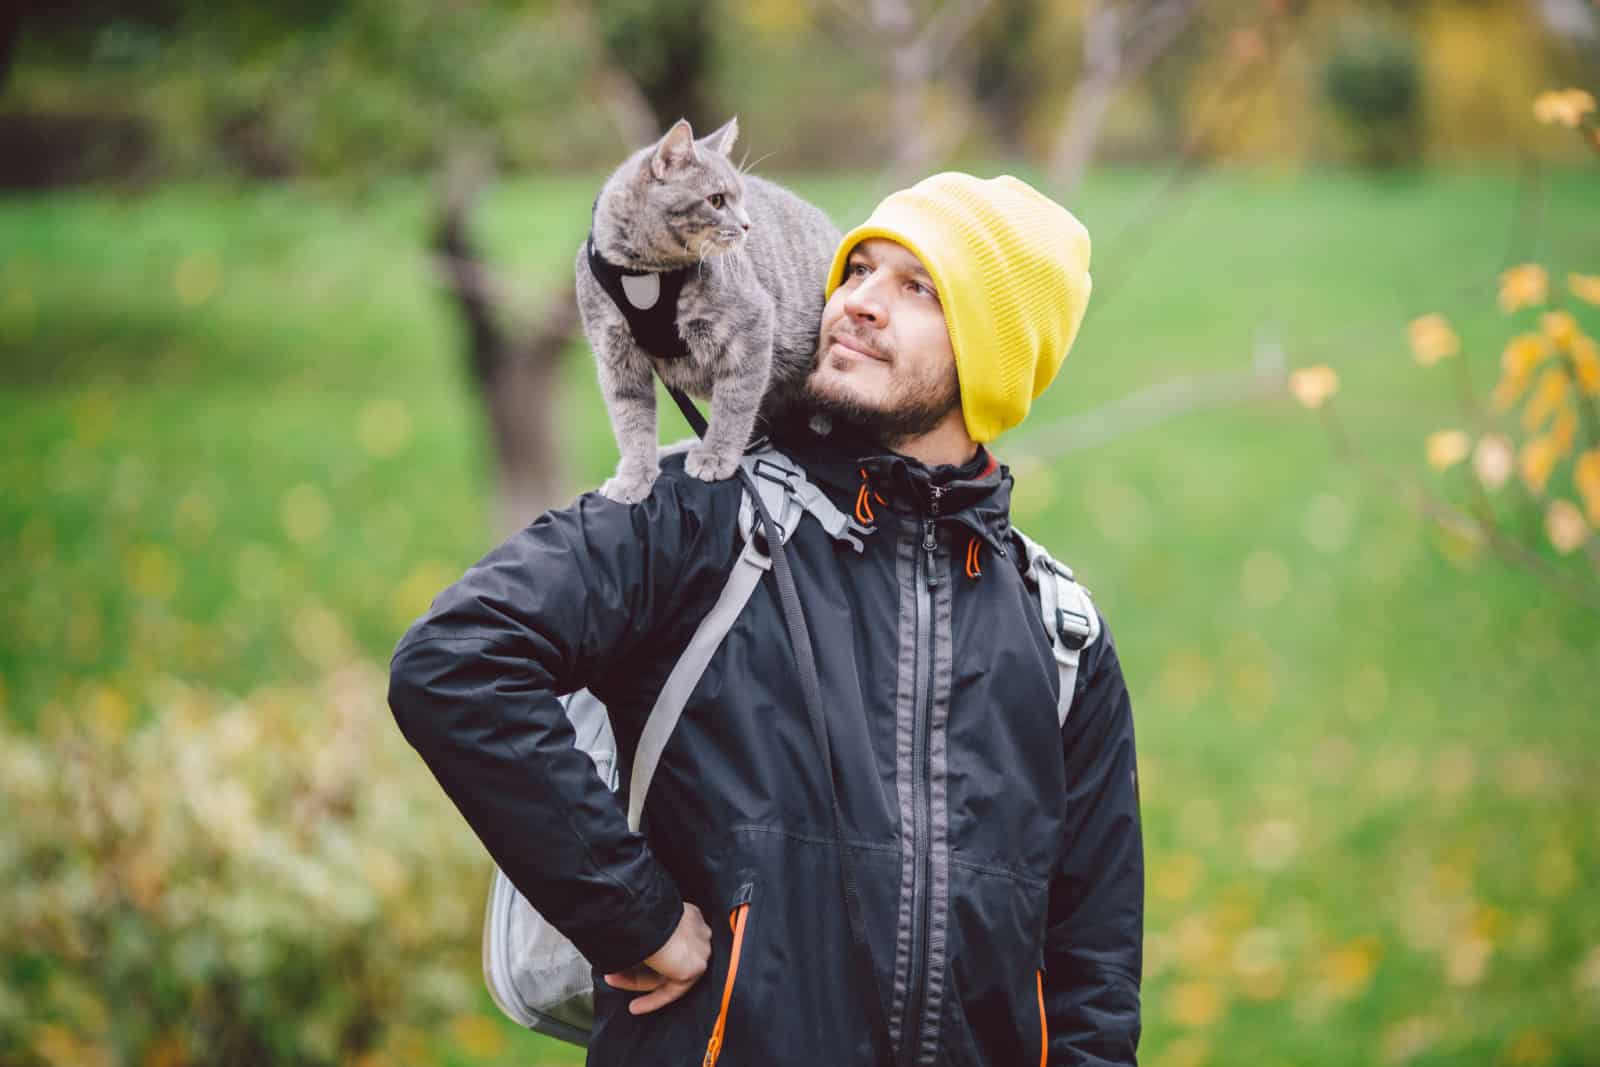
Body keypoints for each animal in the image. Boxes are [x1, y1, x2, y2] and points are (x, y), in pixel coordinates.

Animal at [582, 116, 844, 505]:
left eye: (741, 198)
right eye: (716, 200)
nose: (748, 225)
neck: (646, 276)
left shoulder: (752, 327)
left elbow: (733, 405)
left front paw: (716, 456)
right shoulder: (616, 357)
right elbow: (631, 424)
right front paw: (634, 477)